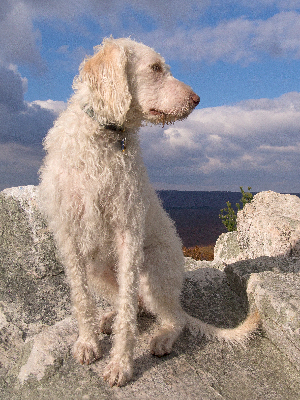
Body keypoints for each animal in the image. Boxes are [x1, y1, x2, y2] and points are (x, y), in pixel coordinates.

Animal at [39, 37, 260, 388]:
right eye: (155, 68)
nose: (197, 100)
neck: (105, 138)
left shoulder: (127, 231)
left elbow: (128, 311)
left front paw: (121, 364)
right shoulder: (69, 234)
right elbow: (82, 300)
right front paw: (87, 342)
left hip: (153, 276)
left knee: (168, 317)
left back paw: (162, 337)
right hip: (98, 271)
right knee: (135, 307)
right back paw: (107, 318)